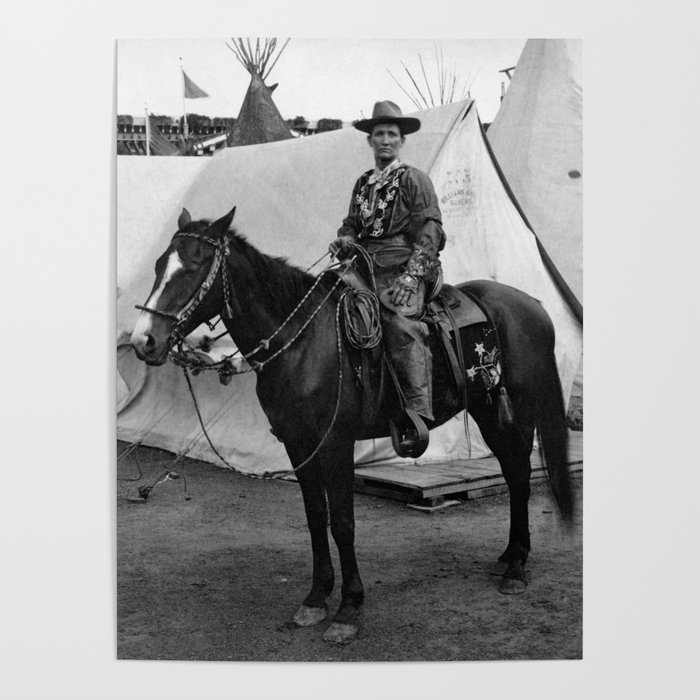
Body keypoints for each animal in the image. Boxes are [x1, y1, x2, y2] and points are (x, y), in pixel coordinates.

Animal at [130, 205, 576, 644]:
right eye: (158, 265)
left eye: (194, 266)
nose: (143, 341)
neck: (302, 341)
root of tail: (533, 304)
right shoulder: (298, 444)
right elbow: (315, 517)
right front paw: (315, 597)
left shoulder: (336, 443)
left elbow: (343, 523)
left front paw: (348, 608)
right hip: (487, 412)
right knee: (514, 473)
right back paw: (509, 557)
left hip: (516, 414)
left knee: (520, 475)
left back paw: (516, 569)